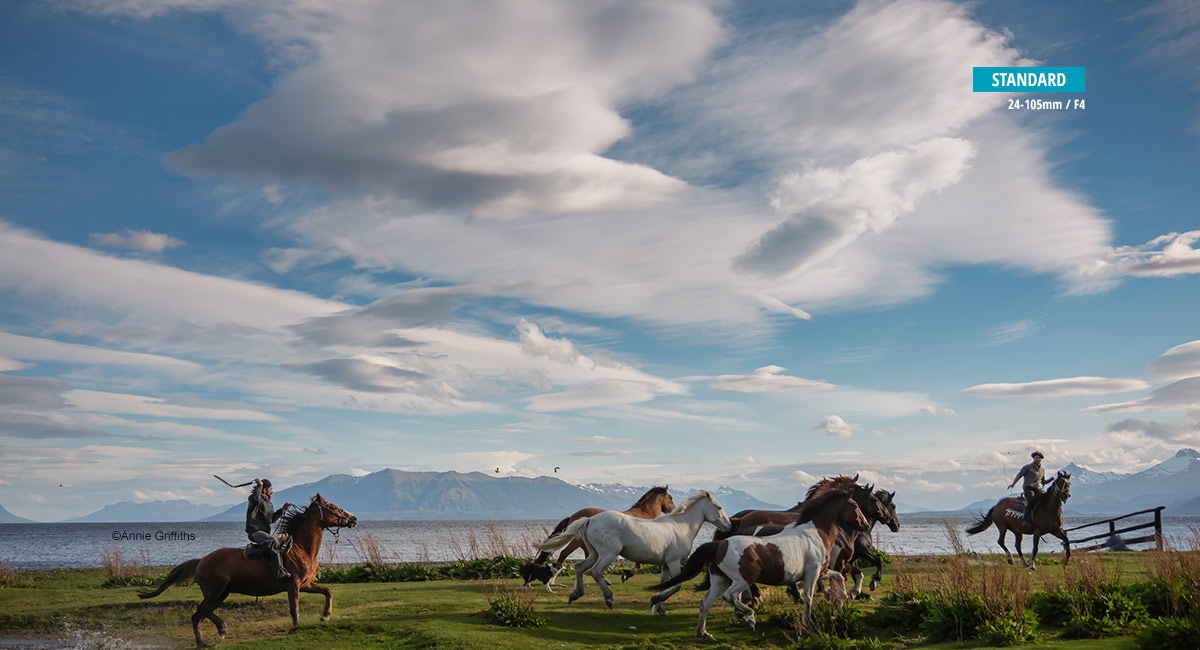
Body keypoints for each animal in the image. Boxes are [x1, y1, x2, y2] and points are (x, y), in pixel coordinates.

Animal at [139, 496, 355, 647]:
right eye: (332, 507)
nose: (353, 518)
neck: (301, 548)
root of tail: (202, 560)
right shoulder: (293, 586)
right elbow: (295, 609)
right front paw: (296, 628)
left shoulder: (306, 584)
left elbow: (328, 592)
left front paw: (325, 615)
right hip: (216, 592)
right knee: (200, 613)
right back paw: (214, 634)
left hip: (221, 593)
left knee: (201, 614)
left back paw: (211, 636)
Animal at [535, 486, 676, 582]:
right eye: (671, 497)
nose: (673, 510)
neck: (644, 514)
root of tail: (573, 517)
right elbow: (639, 564)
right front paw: (626, 574)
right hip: (577, 541)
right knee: (564, 554)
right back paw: (553, 579)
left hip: (587, 545)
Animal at [652, 486, 868, 642]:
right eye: (855, 506)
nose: (865, 525)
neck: (814, 532)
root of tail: (719, 544)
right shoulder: (812, 573)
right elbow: (808, 597)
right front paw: (808, 622)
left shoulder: (820, 571)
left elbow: (838, 577)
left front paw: (842, 600)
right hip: (743, 579)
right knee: (731, 596)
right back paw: (749, 617)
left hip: (720, 580)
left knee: (706, 603)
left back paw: (703, 634)